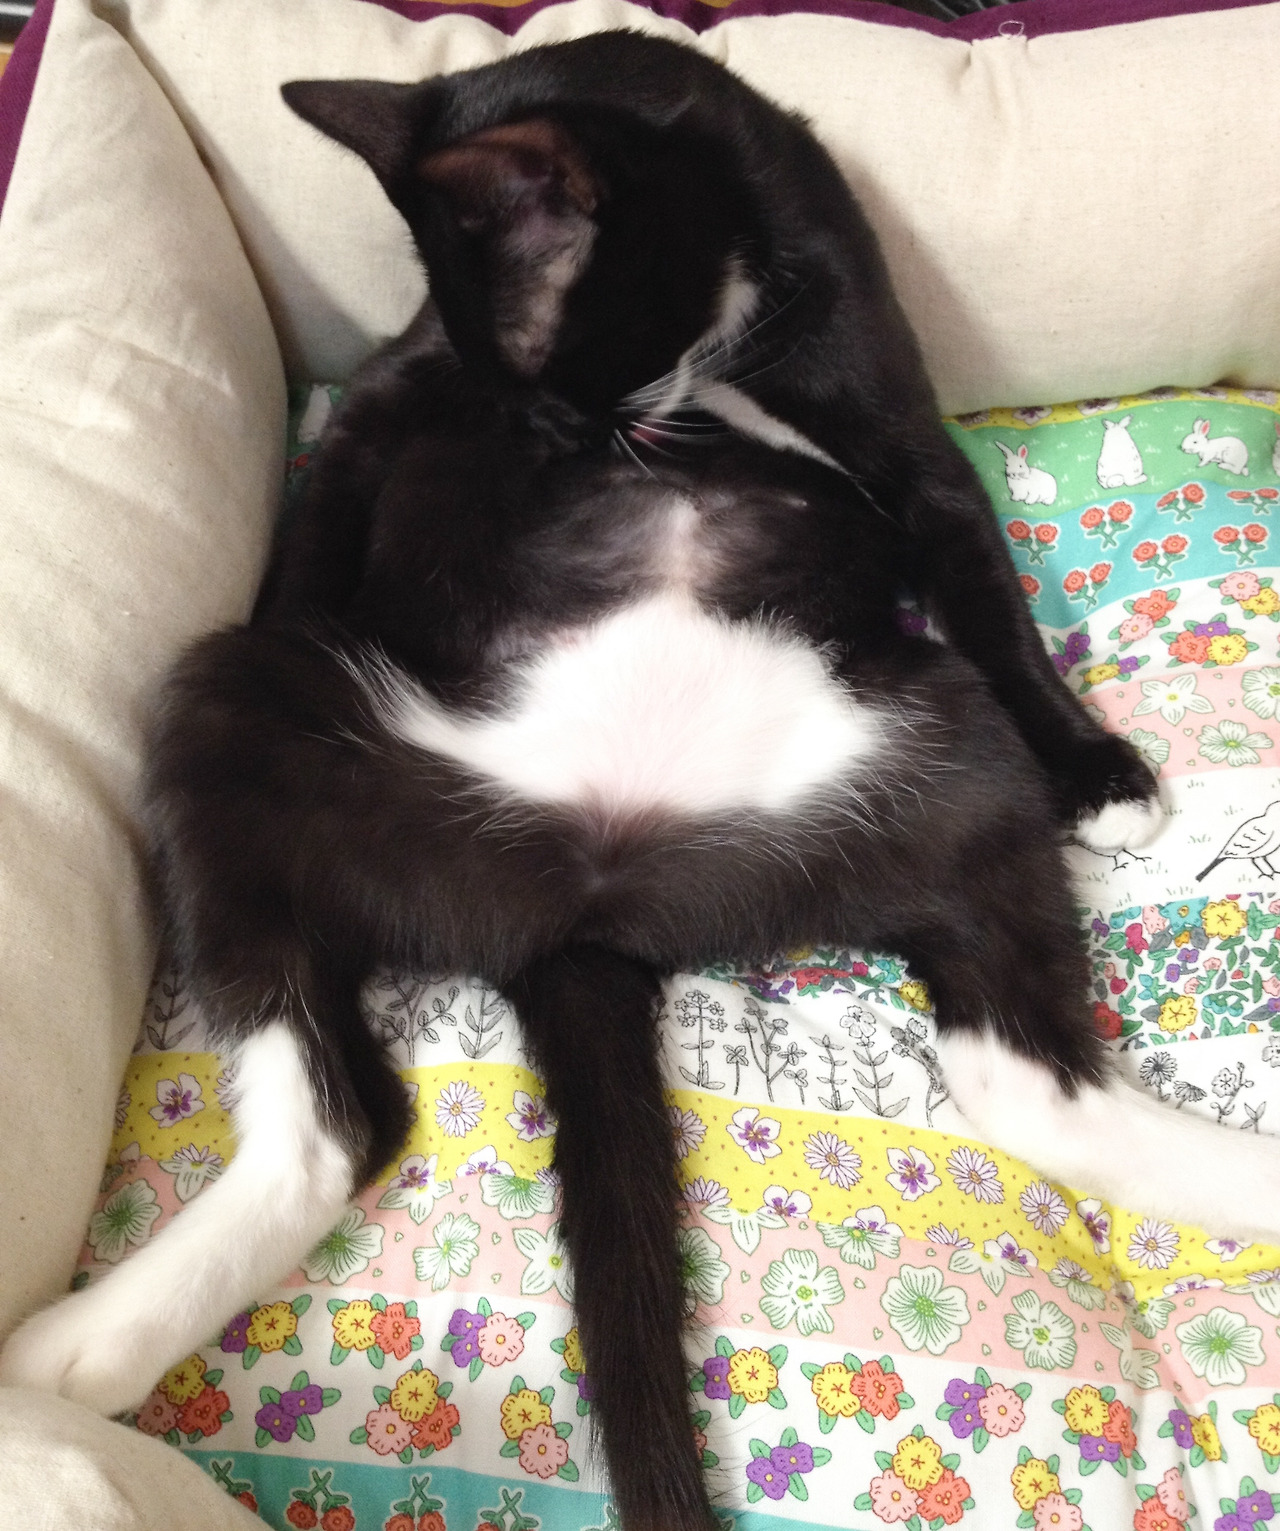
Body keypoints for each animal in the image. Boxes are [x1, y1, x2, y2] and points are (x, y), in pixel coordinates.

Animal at [2, 32, 1273, 1531]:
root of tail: (592, 900)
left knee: (1019, 1069)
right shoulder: (394, 390)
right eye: (537, 408)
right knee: (335, 1118)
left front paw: (1094, 762)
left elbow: (978, 572)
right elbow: (327, 506)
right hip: (234, 707)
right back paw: (77, 1349)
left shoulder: (891, 409)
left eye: (576, 389)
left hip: (944, 757)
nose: (571, 437)